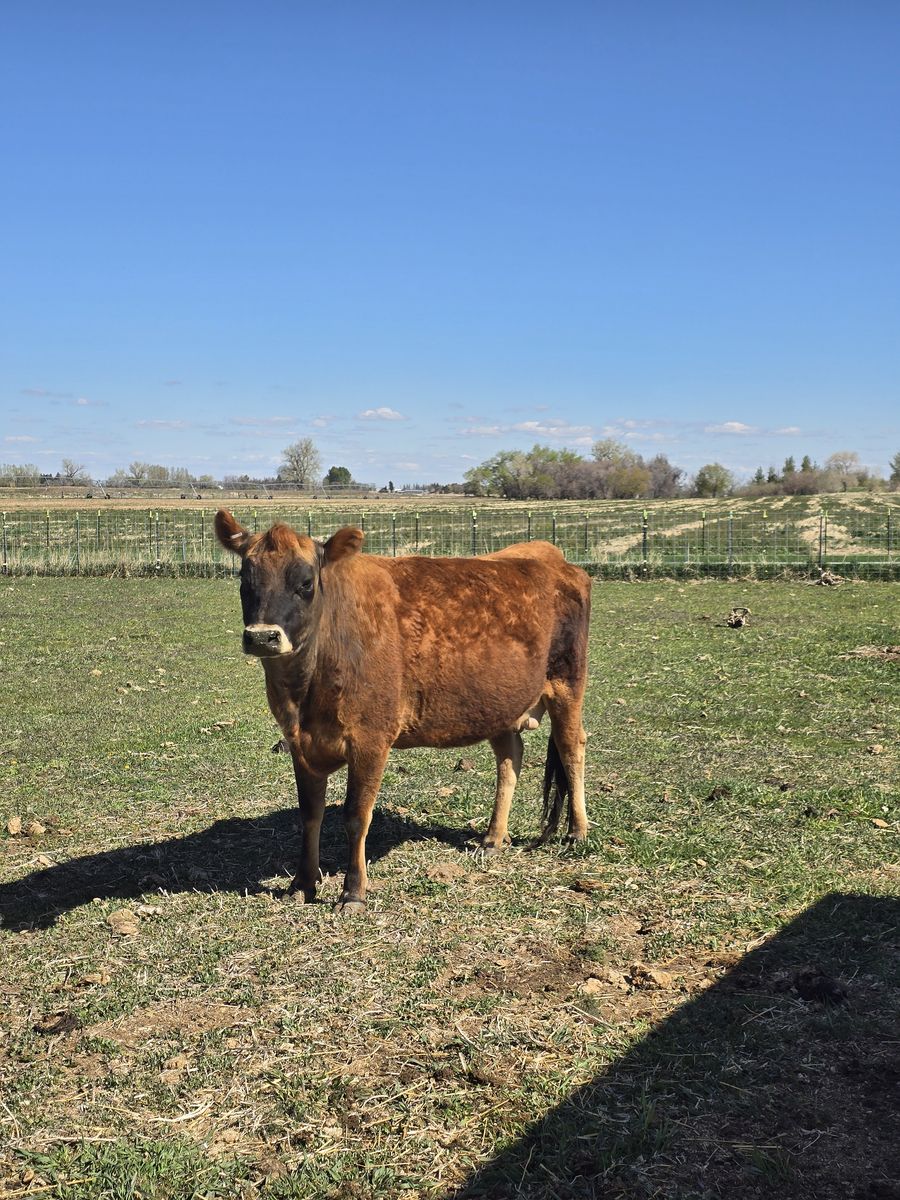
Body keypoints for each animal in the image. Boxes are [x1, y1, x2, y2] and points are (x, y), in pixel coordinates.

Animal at [215, 509, 591, 912]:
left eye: (306, 582)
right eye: (245, 579)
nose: (262, 637)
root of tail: (556, 561)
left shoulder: (370, 741)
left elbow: (356, 816)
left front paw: (353, 892)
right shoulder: (300, 743)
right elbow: (310, 814)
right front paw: (303, 883)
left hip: (567, 684)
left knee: (571, 748)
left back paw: (577, 831)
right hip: (498, 705)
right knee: (510, 758)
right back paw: (493, 838)